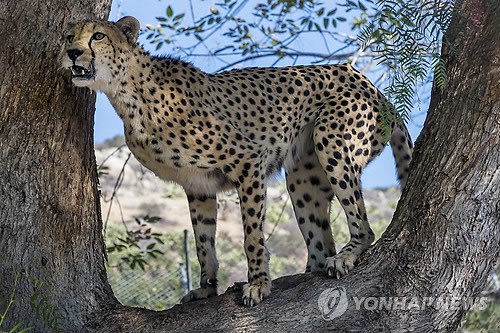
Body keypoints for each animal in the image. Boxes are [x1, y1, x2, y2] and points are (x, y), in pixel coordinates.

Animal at [61, 16, 414, 306]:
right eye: (69, 36)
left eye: (98, 36)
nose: (73, 52)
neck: (129, 93)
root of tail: (368, 82)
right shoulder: (197, 185)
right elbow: (203, 243)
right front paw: (206, 288)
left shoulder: (249, 161)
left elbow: (252, 235)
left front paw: (258, 284)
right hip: (303, 178)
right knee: (320, 242)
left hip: (331, 142)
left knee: (362, 226)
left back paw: (348, 254)